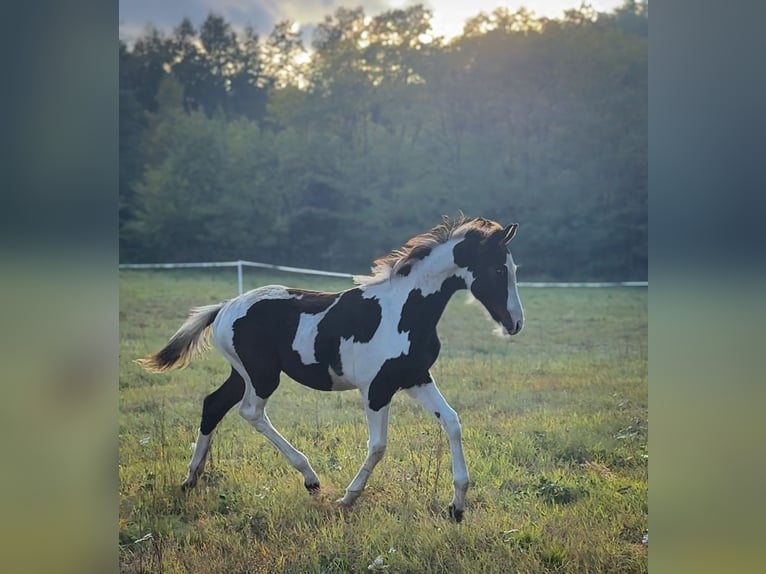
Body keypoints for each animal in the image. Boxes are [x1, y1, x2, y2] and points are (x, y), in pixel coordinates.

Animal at [137, 214, 524, 522]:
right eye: (498, 269)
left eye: (513, 269)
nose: (516, 323)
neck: (404, 311)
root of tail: (225, 307)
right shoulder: (376, 390)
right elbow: (378, 445)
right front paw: (347, 498)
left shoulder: (416, 379)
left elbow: (453, 423)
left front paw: (457, 506)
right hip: (262, 377)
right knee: (250, 412)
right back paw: (310, 478)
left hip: (242, 373)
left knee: (213, 404)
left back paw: (191, 479)